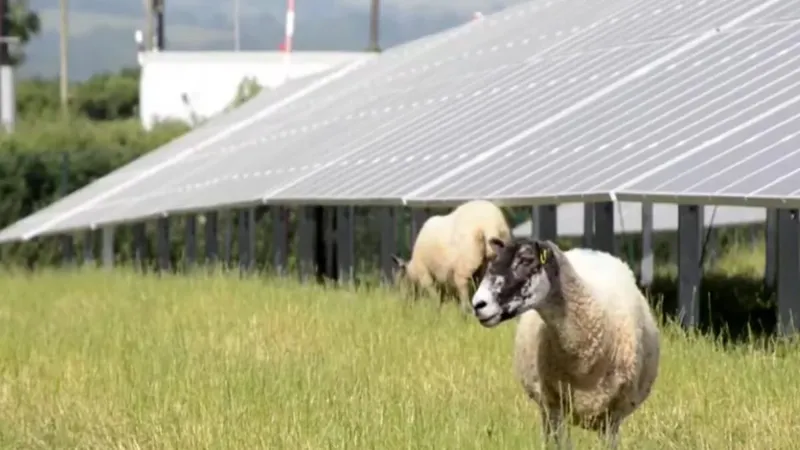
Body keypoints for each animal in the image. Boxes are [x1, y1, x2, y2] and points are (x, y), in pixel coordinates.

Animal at [470, 237, 660, 449]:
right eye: (492, 262)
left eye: (526, 260)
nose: (478, 304)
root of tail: (589, 251)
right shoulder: (554, 406)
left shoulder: (612, 415)